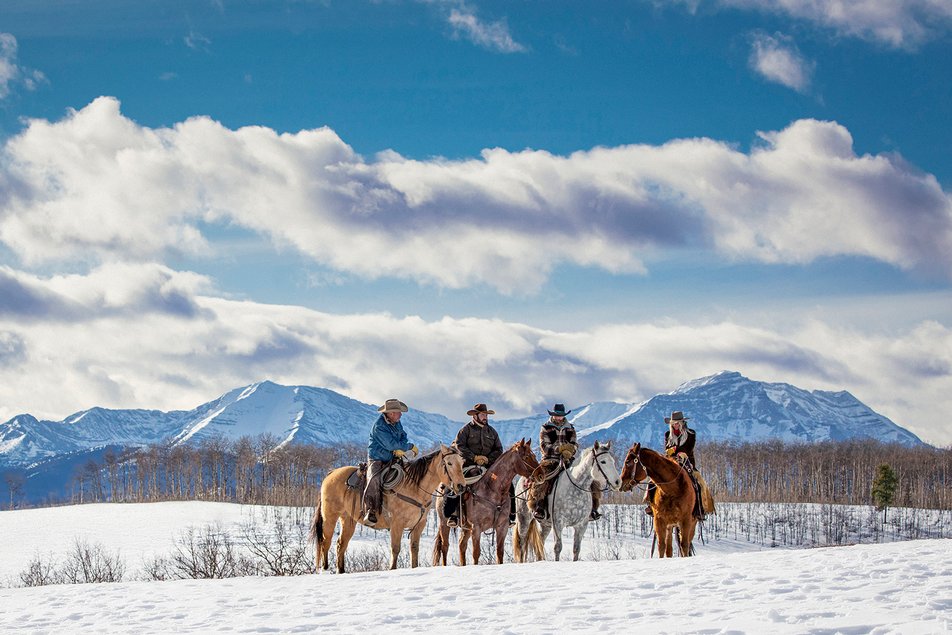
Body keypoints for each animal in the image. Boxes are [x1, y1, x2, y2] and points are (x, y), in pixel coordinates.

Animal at [308, 444, 464, 572]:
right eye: (449, 463)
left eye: (462, 463)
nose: (461, 486)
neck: (414, 487)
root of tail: (330, 474)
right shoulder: (396, 524)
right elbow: (395, 549)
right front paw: (392, 569)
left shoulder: (419, 525)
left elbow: (414, 549)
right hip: (330, 517)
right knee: (325, 541)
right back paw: (325, 569)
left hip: (348, 520)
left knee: (341, 544)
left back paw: (341, 571)